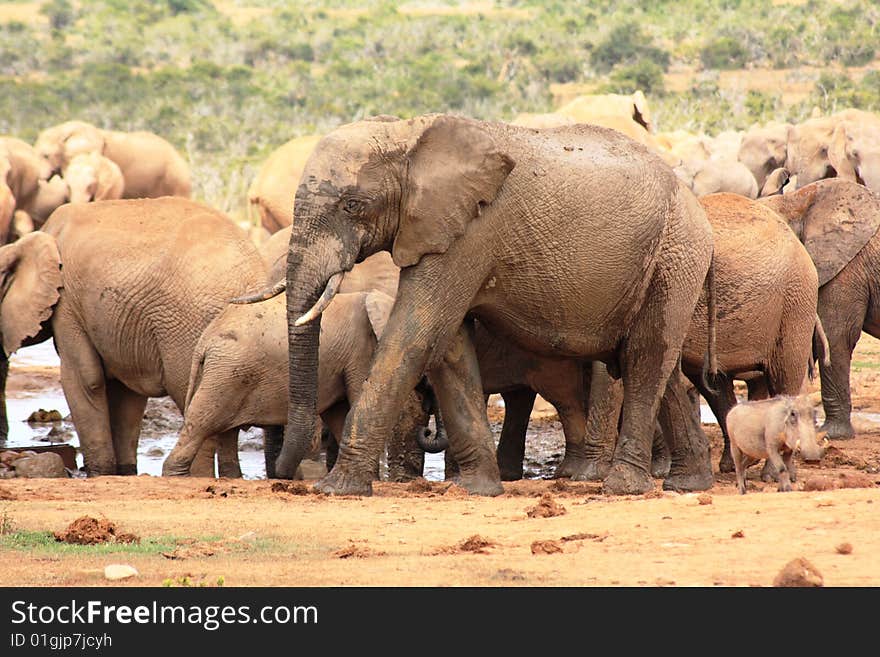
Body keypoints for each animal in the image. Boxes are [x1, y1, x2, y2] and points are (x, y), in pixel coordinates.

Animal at [0, 197, 264, 474]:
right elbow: (127, 394)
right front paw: (124, 471)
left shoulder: (68, 304)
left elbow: (85, 378)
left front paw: (99, 474)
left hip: (189, 327)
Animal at [242, 113, 716, 494]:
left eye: (352, 205)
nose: (284, 478)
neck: (407, 133)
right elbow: (448, 346)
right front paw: (475, 489)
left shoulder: (471, 231)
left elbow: (415, 335)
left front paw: (336, 490)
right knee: (661, 366)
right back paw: (688, 484)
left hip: (675, 251)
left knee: (645, 356)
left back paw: (620, 487)